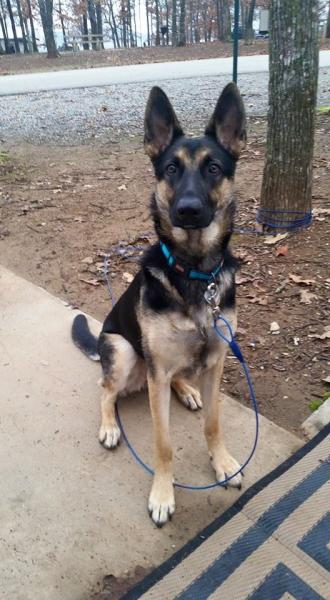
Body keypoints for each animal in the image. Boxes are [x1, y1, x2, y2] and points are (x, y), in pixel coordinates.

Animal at [73, 83, 248, 524]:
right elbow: (163, 444)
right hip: (123, 352)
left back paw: (186, 390)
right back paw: (110, 426)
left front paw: (222, 463)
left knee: (175, 378)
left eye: (213, 168)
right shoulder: (156, 375)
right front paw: (163, 494)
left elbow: (214, 424)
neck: (194, 274)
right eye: (171, 169)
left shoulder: (217, 362)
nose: (187, 209)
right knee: (105, 390)